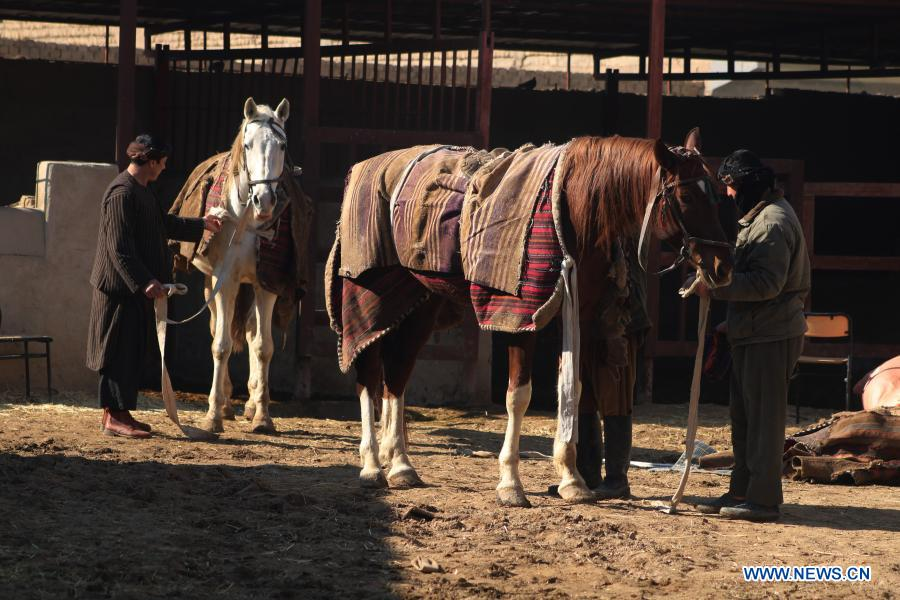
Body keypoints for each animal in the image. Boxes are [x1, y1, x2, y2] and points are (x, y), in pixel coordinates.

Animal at [194, 98, 290, 436]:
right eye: (248, 145)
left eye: (282, 145)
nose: (264, 199)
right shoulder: (225, 281)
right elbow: (221, 345)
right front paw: (213, 415)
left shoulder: (267, 283)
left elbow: (263, 346)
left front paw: (263, 416)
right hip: (211, 284)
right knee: (215, 329)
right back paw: (224, 402)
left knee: (249, 331)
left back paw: (248, 404)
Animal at [336, 127, 732, 506]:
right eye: (686, 197)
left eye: (717, 195)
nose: (722, 267)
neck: (571, 211)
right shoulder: (519, 317)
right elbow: (518, 396)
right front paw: (511, 483)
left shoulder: (575, 316)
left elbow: (572, 390)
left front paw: (572, 480)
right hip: (367, 294)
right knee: (369, 374)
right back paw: (372, 466)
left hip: (421, 304)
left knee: (397, 376)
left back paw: (401, 465)